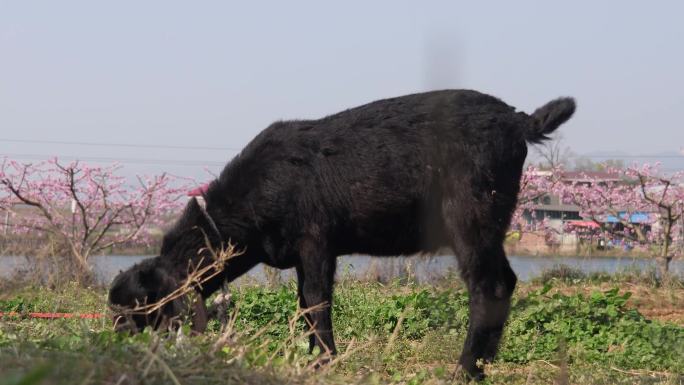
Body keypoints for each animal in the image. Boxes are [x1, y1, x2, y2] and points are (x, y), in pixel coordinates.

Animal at [109, 89, 576, 378]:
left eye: (136, 310)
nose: (115, 344)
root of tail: (518, 121)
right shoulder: (300, 254)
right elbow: (303, 303)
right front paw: (310, 357)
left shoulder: (315, 242)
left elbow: (317, 300)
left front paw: (325, 360)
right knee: (506, 282)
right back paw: (486, 363)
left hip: (471, 217)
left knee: (488, 286)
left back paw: (465, 370)